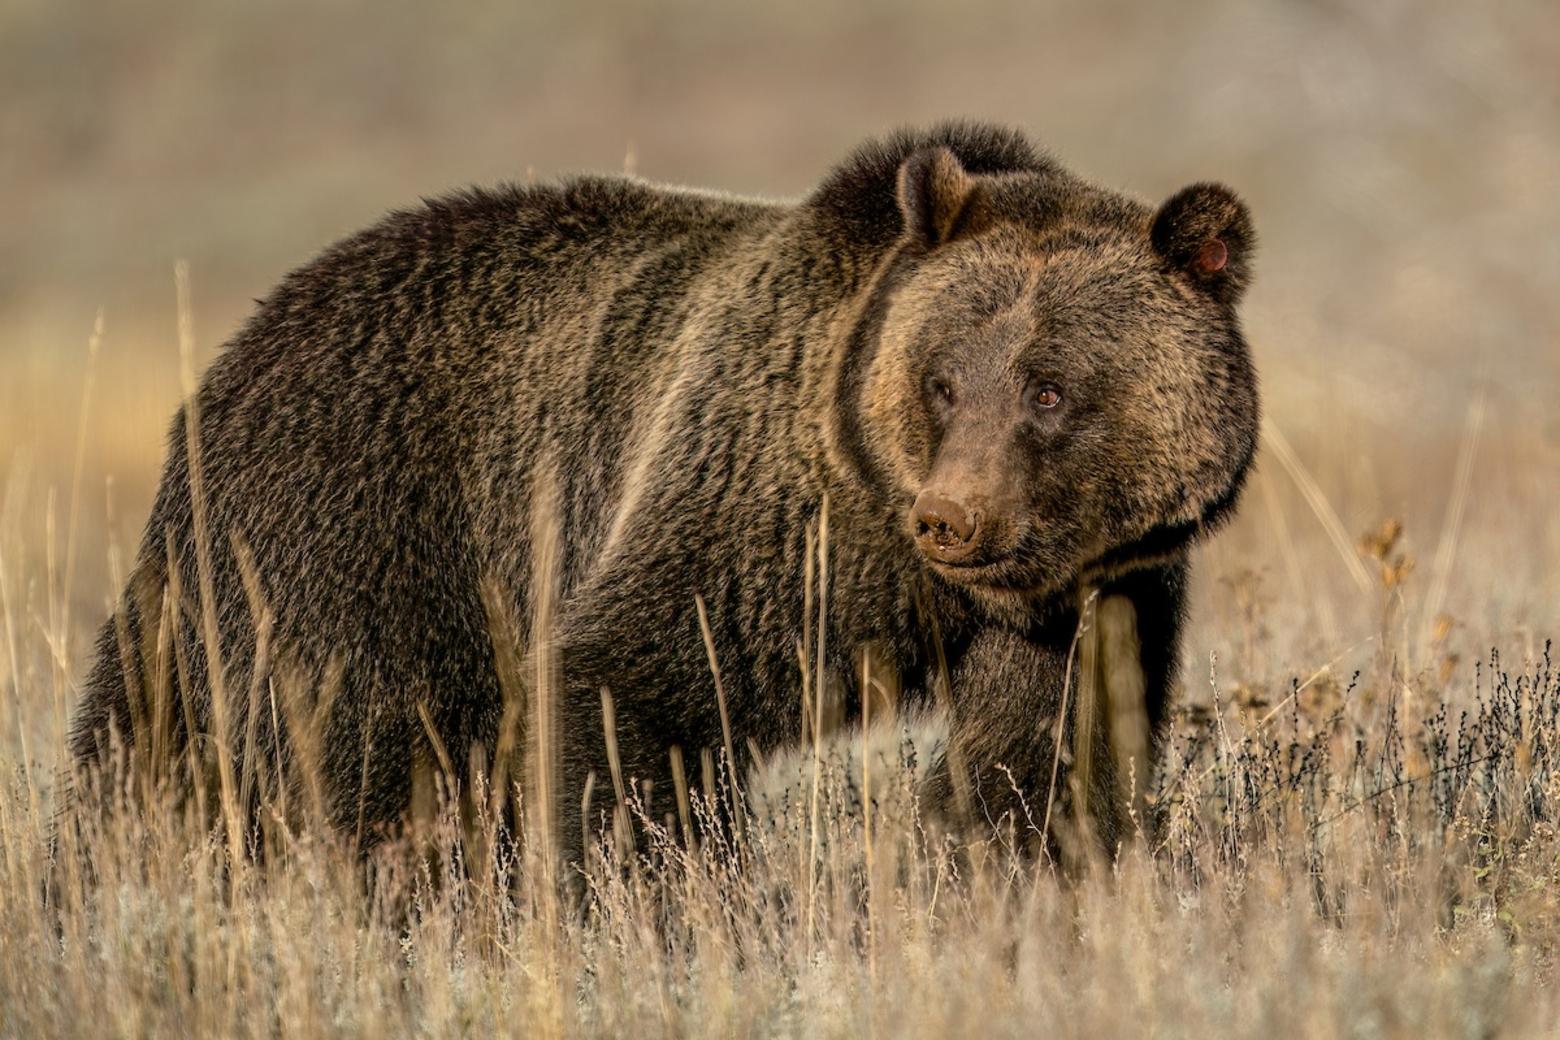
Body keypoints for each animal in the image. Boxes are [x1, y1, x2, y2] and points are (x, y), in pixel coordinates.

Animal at [70, 123, 1254, 860]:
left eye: (1050, 388)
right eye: (945, 379)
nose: (953, 519)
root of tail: (238, 349)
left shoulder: (1091, 594)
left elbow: (1042, 755)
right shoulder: (765, 513)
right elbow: (637, 685)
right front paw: (668, 888)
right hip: (352, 535)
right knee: (319, 748)